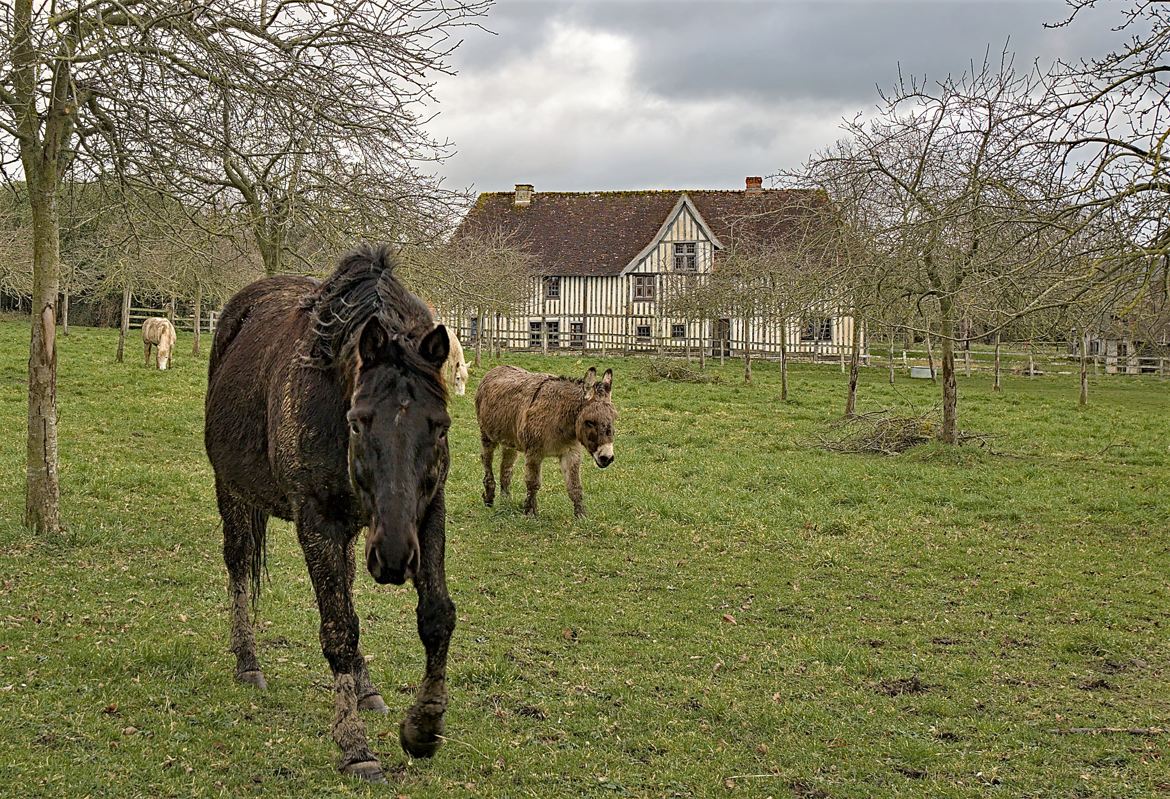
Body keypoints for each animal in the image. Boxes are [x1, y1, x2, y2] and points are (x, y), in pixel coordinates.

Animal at [205, 243, 451, 781]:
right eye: (358, 423)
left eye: (440, 426)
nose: (396, 557)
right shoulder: (316, 522)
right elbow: (338, 629)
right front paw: (355, 747)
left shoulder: (427, 512)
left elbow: (437, 616)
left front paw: (422, 726)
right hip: (233, 493)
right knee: (238, 565)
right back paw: (248, 661)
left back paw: (367, 688)